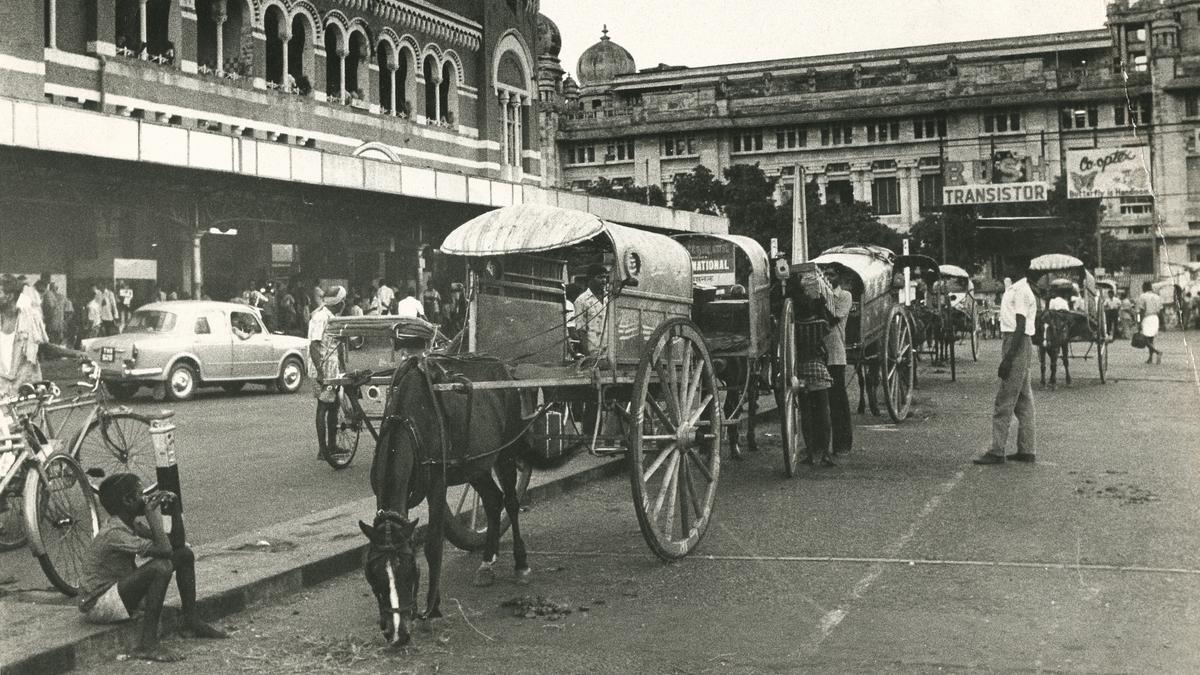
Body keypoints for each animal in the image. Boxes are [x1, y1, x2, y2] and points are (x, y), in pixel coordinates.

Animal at [357, 355, 564, 643]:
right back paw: (487, 563)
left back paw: (521, 564)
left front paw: (432, 609)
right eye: (373, 574)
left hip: (506, 452)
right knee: (492, 500)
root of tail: (507, 370)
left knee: (511, 503)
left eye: (410, 570)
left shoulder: (437, 486)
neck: (409, 422)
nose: (397, 633)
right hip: (475, 464)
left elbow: (434, 545)